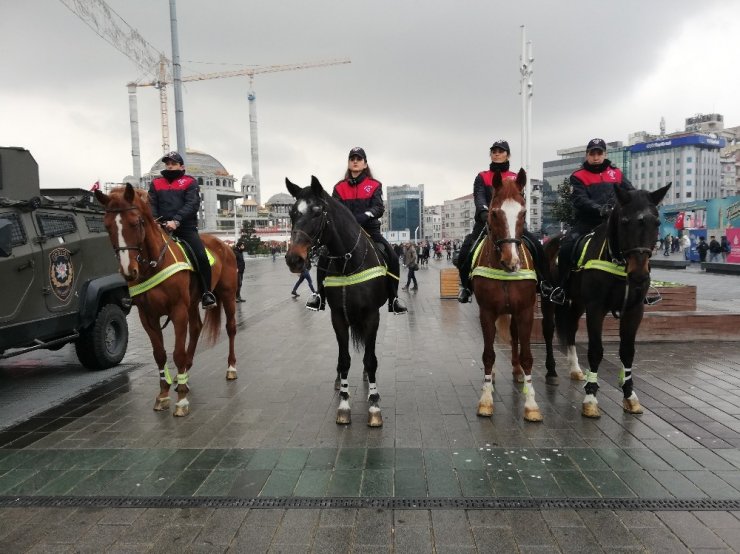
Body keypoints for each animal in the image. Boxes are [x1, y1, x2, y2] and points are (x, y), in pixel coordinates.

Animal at [94, 183, 236, 416]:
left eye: (136, 222)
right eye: (107, 227)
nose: (128, 271)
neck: (154, 264)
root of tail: (223, 243)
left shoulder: (178, 311)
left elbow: (177, 353)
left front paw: (181, 401)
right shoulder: (147, 316)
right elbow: (160, 354)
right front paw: (163, 395)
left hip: (227, 294)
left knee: (231, 328)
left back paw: (231, 367)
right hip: (193, 302)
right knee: (196, 328)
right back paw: (183, 376)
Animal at [284, 175, 388, 424]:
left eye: (317, 212)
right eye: (292, 213)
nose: (294, 259)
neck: (349, 262)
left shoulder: (372, 316)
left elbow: (370, 360)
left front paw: (374, 405)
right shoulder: (338, 316)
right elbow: (344, 360)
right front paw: (344, 404)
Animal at [474, 170, 544, 420]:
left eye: (523, 213)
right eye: (494, 213)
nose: (511, 261)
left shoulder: (525, 312)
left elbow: (527, 355)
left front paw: (531, 404)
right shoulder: (486, 311)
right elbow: (488, 354)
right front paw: (486, 399)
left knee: (514, 337)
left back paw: (517, 370)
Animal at [540, 183, 672, 416]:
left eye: (656, 223)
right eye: (625, 221)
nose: (639, 275)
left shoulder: (634, 310)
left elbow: (627, 352)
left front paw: (630, 395)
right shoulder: (596, 308)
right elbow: (595, 351)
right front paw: (591, 397)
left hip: (577, 303)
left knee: (571, 329)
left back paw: (575, 368)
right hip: (549, 299)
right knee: (548, 330)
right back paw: (552, 371)